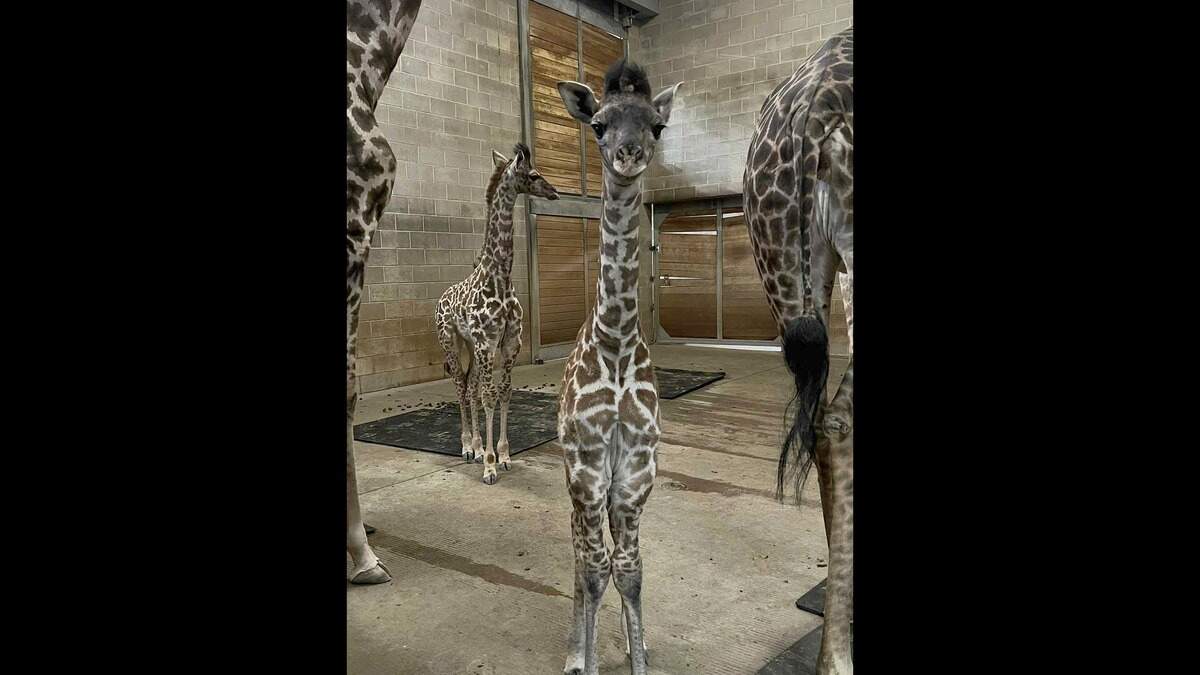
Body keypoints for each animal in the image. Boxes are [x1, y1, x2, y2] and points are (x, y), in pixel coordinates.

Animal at [434, 143, 559, 485]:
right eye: (534, 174)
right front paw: (489, 465)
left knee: (472, 386)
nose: (555, 191)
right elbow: (489, 395)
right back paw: (467, 448)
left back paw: (476, 448)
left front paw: (502, 456)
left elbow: (503, 393)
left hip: (472, 347)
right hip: (453, 343)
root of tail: (440, 299)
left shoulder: (509, 343)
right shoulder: (487, 342)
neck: (500, 277)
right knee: (462, 387)